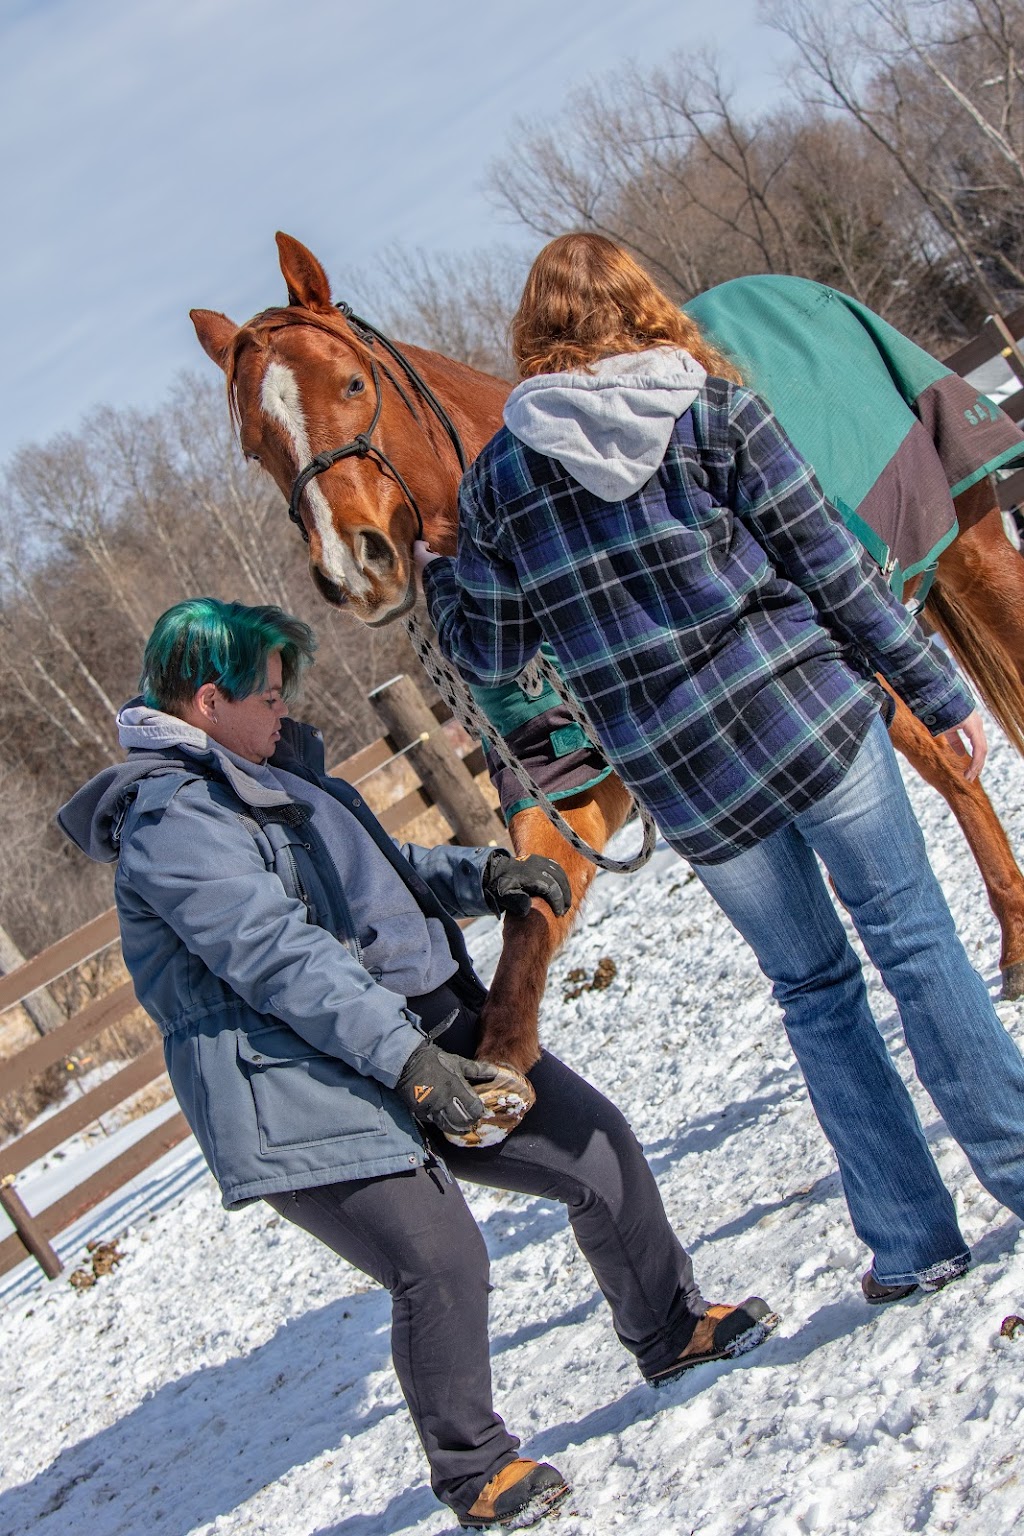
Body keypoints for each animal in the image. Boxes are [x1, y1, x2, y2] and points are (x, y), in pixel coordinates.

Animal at [194, 233, 1024, 1069]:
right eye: (256, 447)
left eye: (353, 381)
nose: (353, 569)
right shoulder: (573, 784)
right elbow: (525, 944)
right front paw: (494, 1071)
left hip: (964, 558)